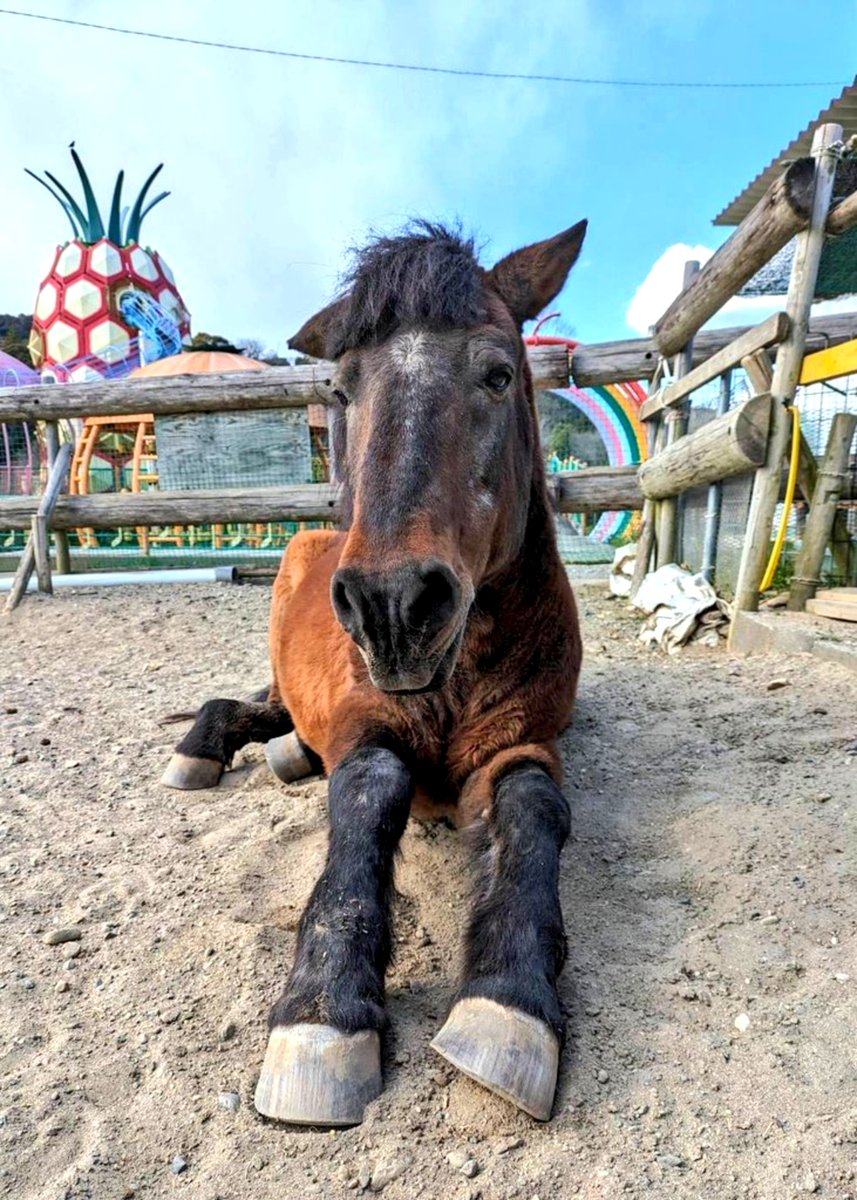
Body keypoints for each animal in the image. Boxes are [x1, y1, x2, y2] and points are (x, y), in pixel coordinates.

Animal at [162, 218, 586, 1126]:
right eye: (344, 391)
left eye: (498, 372)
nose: (392, 606)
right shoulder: (369, 730)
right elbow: (365, 799)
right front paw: (323, 1012)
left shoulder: (522, 745)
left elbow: (535, 810)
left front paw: (508, 1002)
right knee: (251, 704)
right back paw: (205, 748)